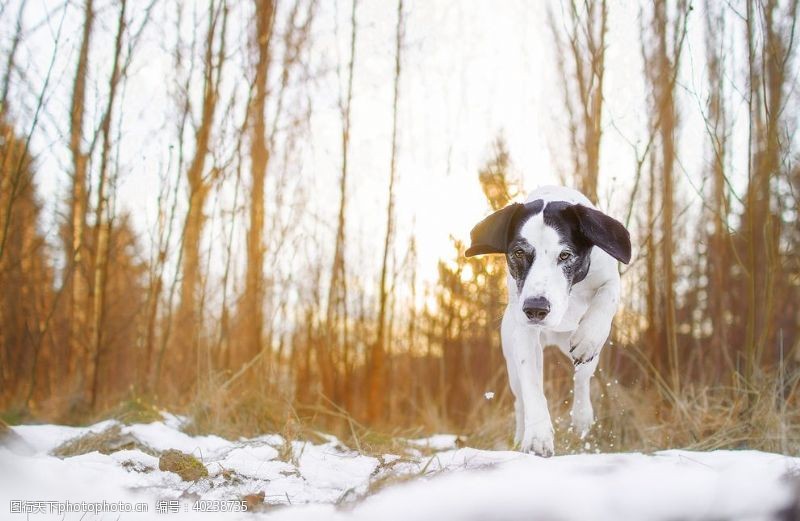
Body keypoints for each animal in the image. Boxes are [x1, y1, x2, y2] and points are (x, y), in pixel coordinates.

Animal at [462, 186, 632, 456]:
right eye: (519, 253)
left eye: (565, 255)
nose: (536, 308)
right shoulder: (524, 334)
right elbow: (532, 386)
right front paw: (537, 437)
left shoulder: (608, 277)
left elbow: (607, 296)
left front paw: (589, 336)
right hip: (513, 361)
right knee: (520, 399)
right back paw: (521, 434)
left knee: (582, 378)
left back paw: (582, 416)